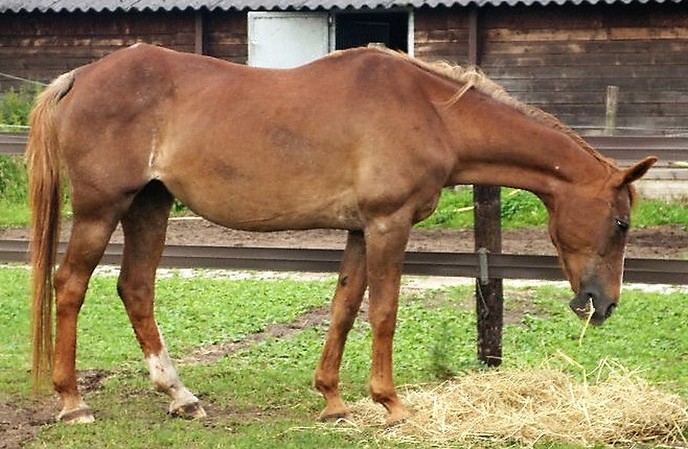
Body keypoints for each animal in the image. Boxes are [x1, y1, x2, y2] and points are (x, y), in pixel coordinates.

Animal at [27, 43, 656, 425]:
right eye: (621, 222)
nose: (602, 304)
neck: (430, 111)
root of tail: (79, 76)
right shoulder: (387, 225)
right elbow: (384, 313)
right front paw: (391, 403)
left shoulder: (359, 229)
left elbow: (344, 308)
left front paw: (332, 400)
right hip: (101, 209)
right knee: (70, 285)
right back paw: (73, 402)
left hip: (149, 206)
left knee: (135, 288)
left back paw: (181, 396)